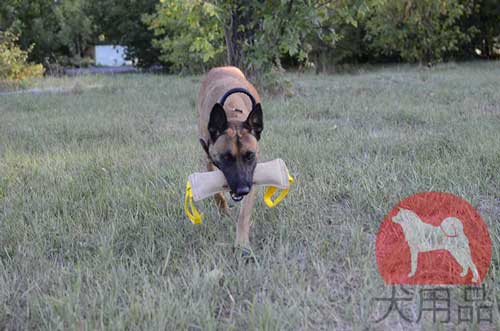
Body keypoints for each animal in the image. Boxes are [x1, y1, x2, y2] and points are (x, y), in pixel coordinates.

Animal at [197, 66, 264, 250]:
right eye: (226, 158)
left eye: (250, 156)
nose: (242, 190)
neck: (232, 114)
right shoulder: (209, 160)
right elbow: (218, 195)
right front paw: (224, 213)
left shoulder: (251, 175)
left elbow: (244, 214)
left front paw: (242, 244)